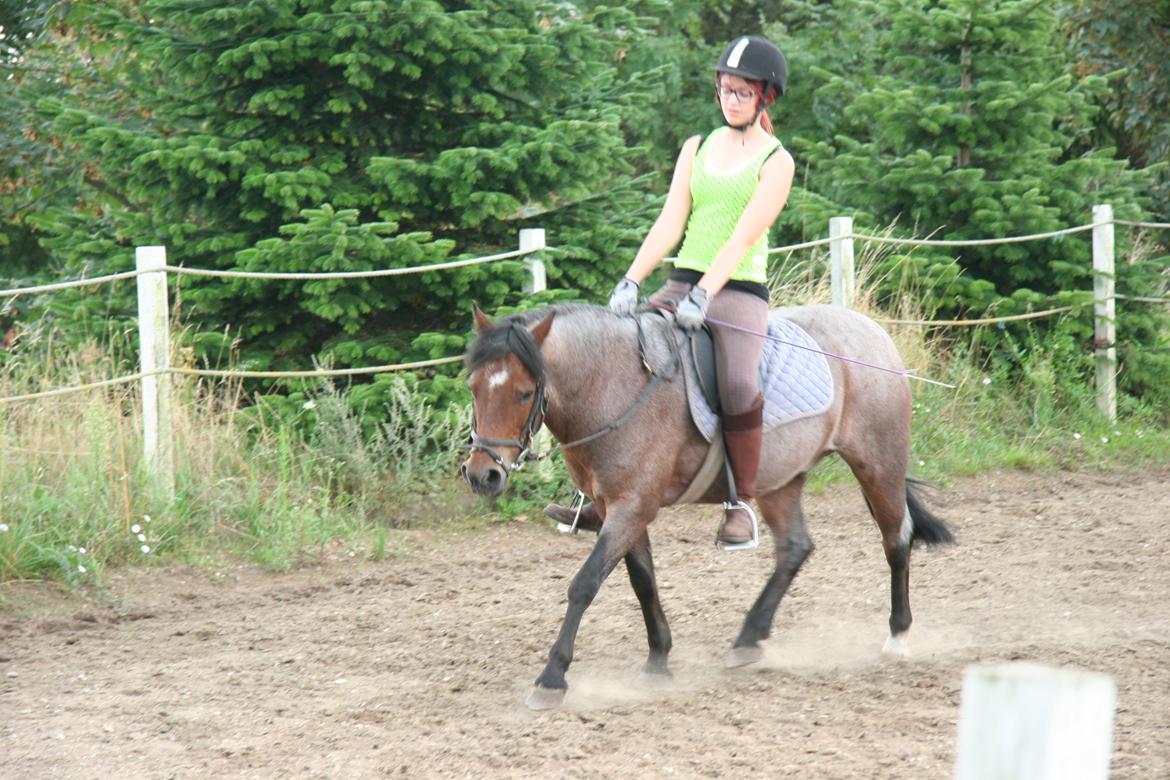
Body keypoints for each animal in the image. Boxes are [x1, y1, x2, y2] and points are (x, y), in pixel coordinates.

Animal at [456, 301, 950, 711]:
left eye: (524, 392)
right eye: (474, 386)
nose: (483, 474)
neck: (613, 386)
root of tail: (870, 327)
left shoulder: (632, 507)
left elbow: (584, 585)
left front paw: (552, 678)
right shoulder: (622, 508)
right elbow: (643, 582)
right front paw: (658, 660)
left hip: (878, 462)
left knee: (896, 538)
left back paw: (898, 635)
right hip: (781, 479)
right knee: (795, 547)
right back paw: (749, 638)